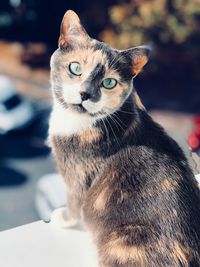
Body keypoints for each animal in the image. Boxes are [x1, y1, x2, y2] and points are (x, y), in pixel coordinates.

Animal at [48, 9, 200, 266]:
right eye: (75, 68)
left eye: (109, 82)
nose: (85, 93)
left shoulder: (77, 173)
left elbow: (74, 201)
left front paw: (62, 216)